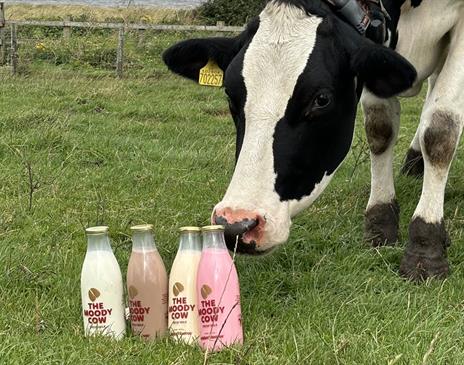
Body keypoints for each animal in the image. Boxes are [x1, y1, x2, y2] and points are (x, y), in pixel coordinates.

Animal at [164, 0, 464, 280]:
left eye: (321, 99)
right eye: (229, 94)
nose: (236, 224)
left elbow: (440, 128)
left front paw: (426, 245)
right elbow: (380, 127)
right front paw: (380, 222)